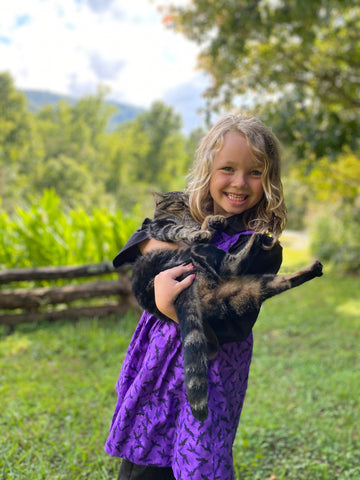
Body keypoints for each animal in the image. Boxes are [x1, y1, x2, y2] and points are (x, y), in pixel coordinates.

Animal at [130, 193, 324, 422]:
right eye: (177, 201)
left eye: (186, 199)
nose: (187, 203)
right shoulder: (159, 227)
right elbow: (181, 229)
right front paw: (201, 229)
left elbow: (202, 226)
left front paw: (212, 222)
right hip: (187, 259)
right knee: (227, 264)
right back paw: (256, 239)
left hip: (244, 291)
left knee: (272, 281)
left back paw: (309, 267)